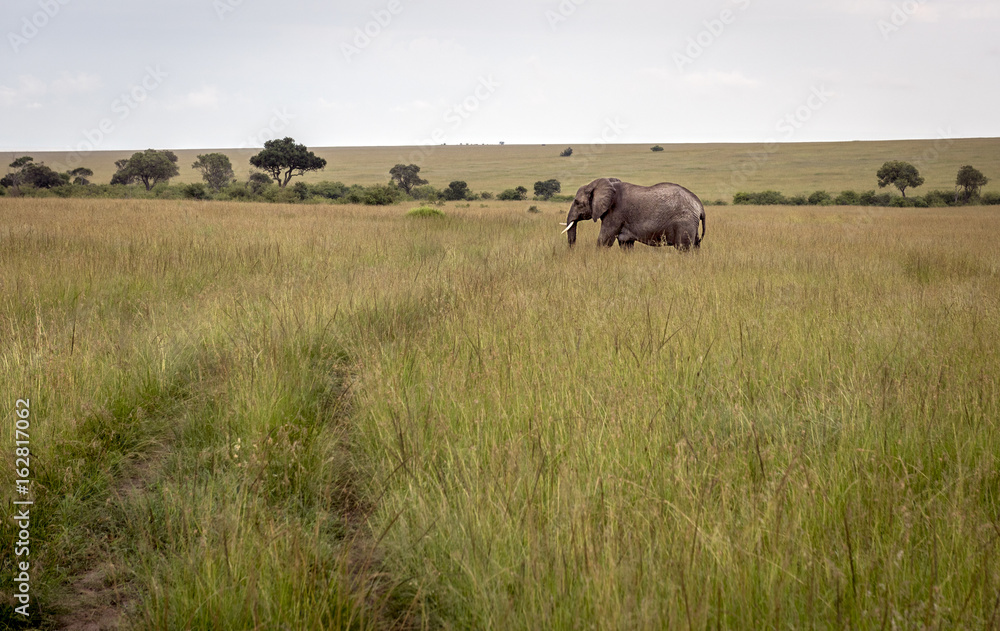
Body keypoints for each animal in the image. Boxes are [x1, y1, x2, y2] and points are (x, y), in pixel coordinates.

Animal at [562, 178, 705, 250]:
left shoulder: (615, 213)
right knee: (696, 246)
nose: (572, 250)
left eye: (577, 202)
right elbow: (625, 244)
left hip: (684, 222)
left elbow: (604, 240)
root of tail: (700, 206)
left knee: (683, 248)